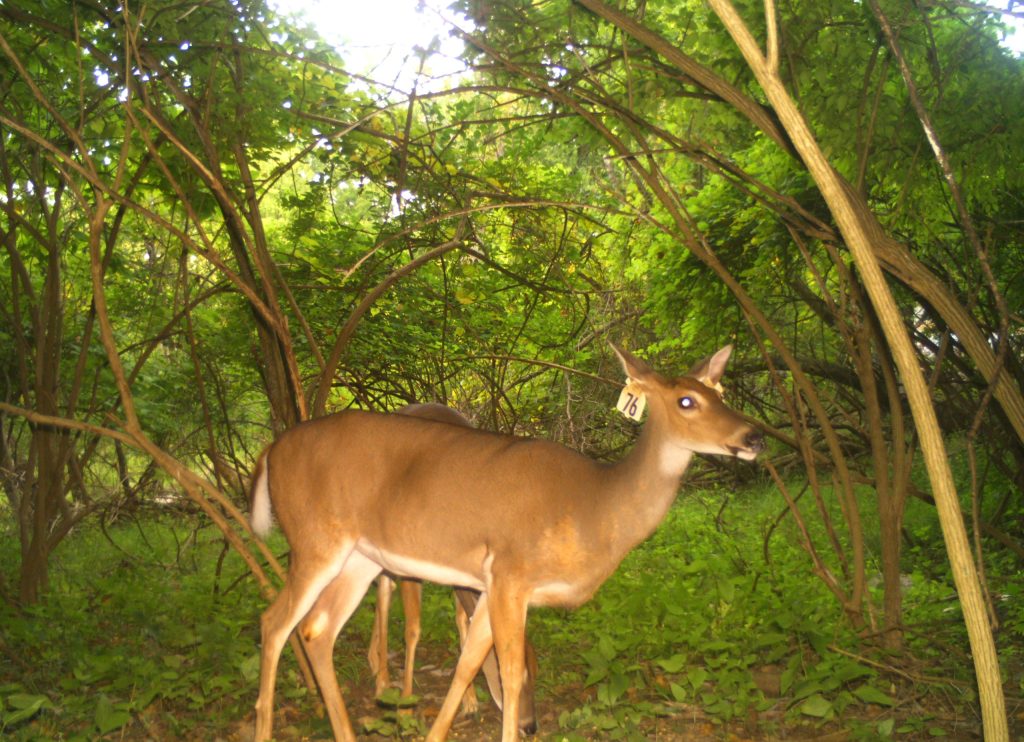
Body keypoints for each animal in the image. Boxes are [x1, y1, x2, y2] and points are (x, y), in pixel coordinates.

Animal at [368, 403, 540, 732]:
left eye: (537, 671)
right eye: (510, 677)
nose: (530, 726)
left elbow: (464, 621)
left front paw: (470, 702)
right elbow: (413, 629)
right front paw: (406, 709)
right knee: (382, 595)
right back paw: (381, 681)